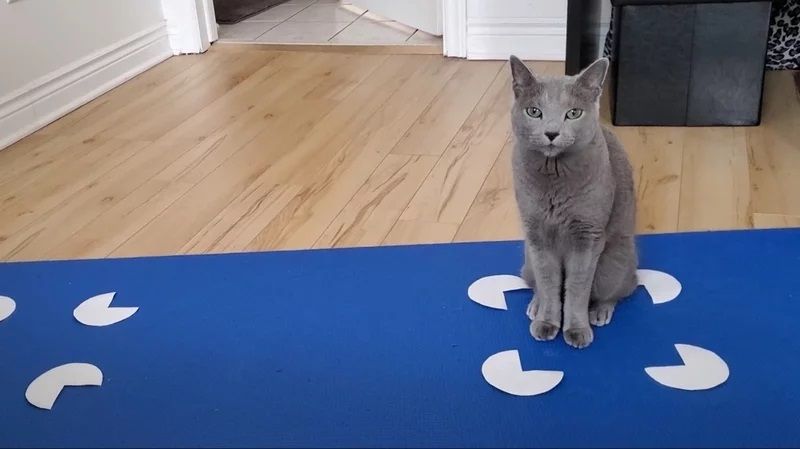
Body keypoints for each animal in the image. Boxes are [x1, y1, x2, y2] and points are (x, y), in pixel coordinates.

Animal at [512, 56, 636, 348]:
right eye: (533, 112)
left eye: (573, 113)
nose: (551, 132)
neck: (554, 174)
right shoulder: (537, 235)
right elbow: (549, 282)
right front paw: (546, 322)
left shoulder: (587, 236)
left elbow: (578, 287)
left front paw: (577, 330)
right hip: (527, 258)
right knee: (537, 282)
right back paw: (535, 305)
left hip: (614, 264)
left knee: (619, 290)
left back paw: (601, 311)